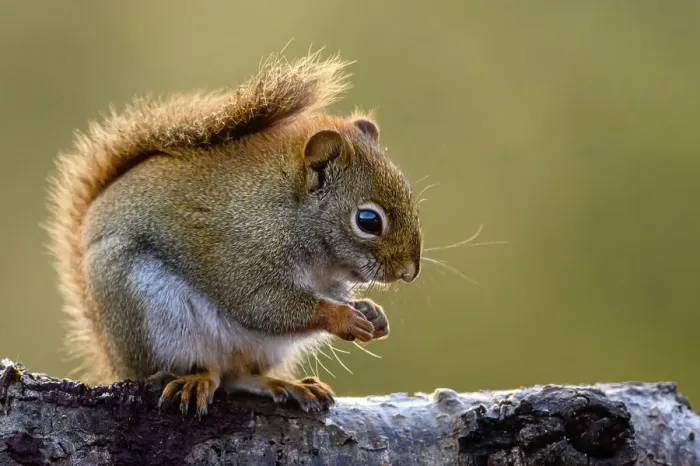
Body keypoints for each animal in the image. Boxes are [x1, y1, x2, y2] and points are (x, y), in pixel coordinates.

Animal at [46, 51, 423, 417]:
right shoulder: (242, 252)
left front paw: (372, 312)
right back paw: (196, 378)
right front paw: (342, 316)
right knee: (196, 369)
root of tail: (114, 359)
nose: (409, 272)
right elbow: (264, 305)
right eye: (368, 221)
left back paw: (284, 384)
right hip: (149, 313)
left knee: (238, 375)